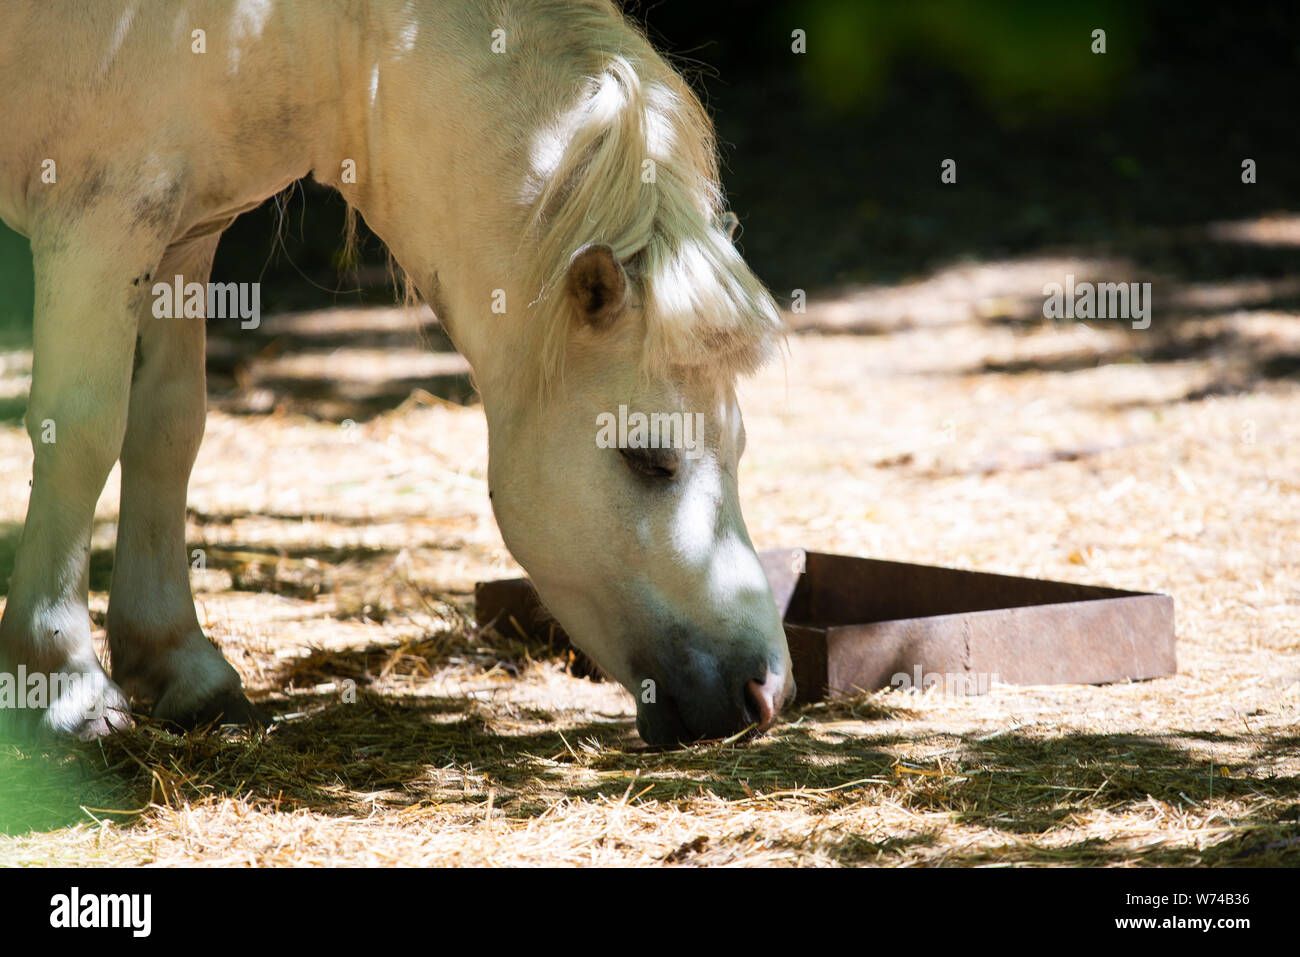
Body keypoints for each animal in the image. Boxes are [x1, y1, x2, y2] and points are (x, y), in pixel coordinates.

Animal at [0, 0, 790, 748]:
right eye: (647, 458)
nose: (764, 693)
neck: (307, 29)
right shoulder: (101, 214)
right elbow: (82, 434)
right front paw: (63, 681)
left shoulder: (181, 238)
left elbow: (166, 432)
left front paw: (179, 664)